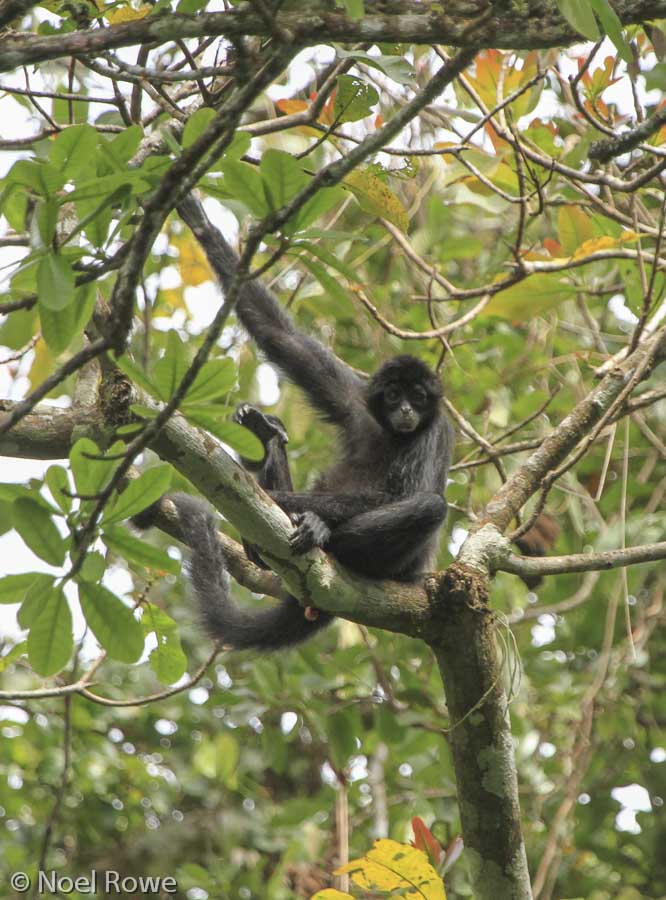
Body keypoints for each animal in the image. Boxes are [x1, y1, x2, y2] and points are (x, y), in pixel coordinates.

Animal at [137, 194, 455, 651]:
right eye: (395, 395)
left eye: (418, 397)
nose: (407, 411)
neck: (391, 431)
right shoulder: (357, 399)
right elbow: (281, 337)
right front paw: (200, 224)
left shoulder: (435, 430)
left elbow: (405, 495)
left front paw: (285, 503)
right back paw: (265, 439)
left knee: (430, 506)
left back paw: (322, 533)